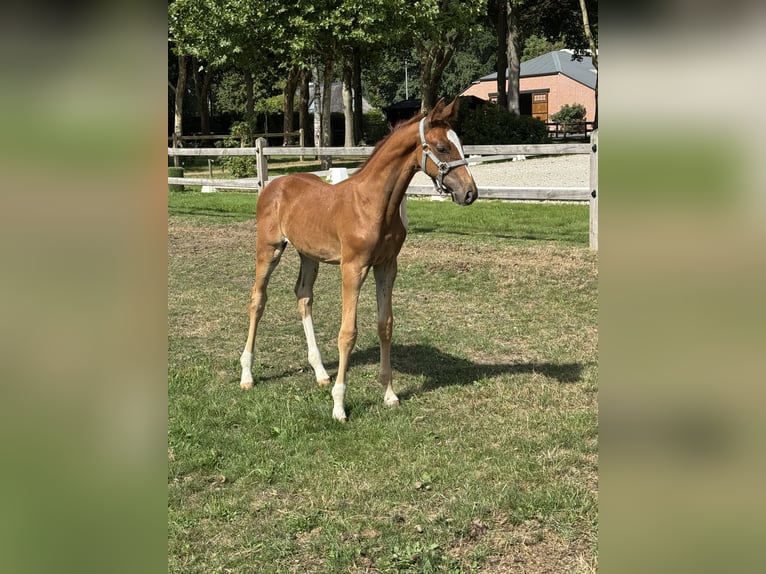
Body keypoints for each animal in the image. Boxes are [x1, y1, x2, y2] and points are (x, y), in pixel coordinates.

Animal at [239, 97, 477, 422]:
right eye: (442, 148)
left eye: (461, 144)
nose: (470, 193)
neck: (373, 204)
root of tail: (274, 185)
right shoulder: (352, 268)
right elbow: (347, 333)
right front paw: (339, 405)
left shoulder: (387, 266)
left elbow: (385, 325)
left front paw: (389, 393)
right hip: (269, 249)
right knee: (258, 300)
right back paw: (247, 375)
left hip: (309, 254)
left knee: (303, 296)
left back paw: (320, 372)